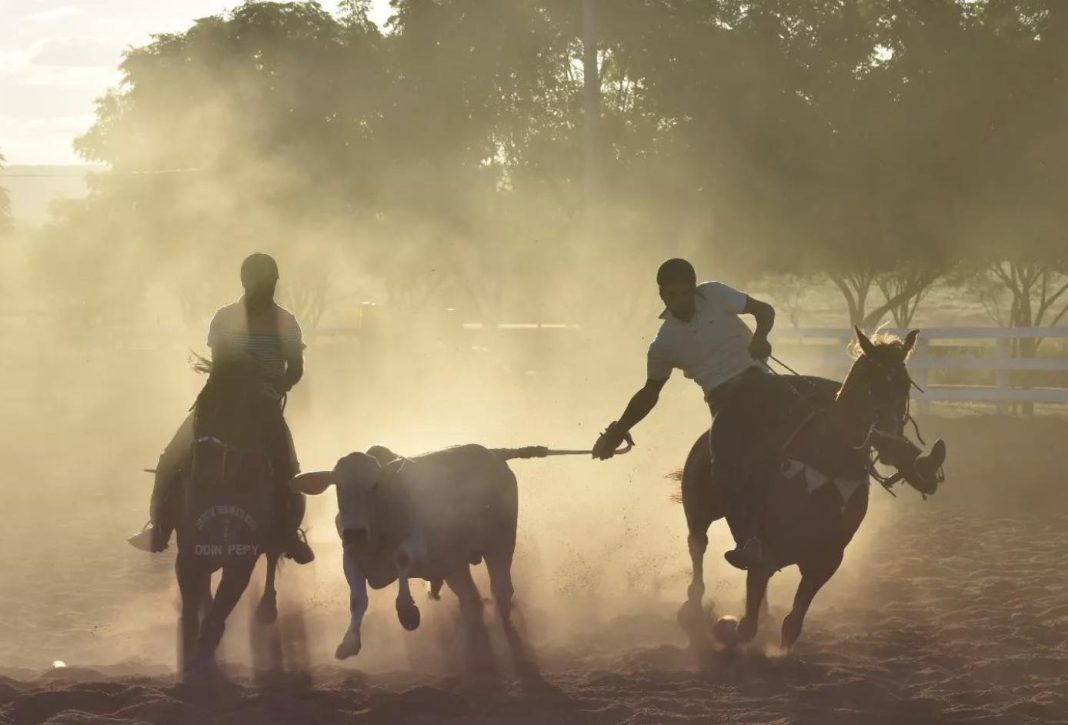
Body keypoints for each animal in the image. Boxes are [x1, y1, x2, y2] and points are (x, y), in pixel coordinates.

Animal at [176, 356, 294, 679]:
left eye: (238, 409)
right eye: (202, 404)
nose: (203, 463)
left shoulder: (242, 562)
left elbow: (217, 616)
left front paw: (202, 662)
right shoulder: (188, 556)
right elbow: (191, 610)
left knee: (273, 558)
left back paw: (267, 608)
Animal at [288, 442, 546, 674]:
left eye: (374, 485)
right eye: (339, 486)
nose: (355, 533)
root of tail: (494, 454)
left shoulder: (420, 545)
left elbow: (402, 558)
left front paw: (406, 610)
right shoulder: (350, 556)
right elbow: (357, 599)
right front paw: (348, 644)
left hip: (500, 545)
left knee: (501, 590)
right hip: (454, 565)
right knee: (471, 599)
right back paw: (462, 649)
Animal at [679, 328, 939, 653]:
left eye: (904, 384)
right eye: (869, 385)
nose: (891, 443)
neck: (826, 466)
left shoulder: (827, 558)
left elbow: (792, 623)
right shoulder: (764, 550)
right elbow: (748, 622)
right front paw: (727, 629)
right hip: (698, 510)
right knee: (697, 546)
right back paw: (692, 605)